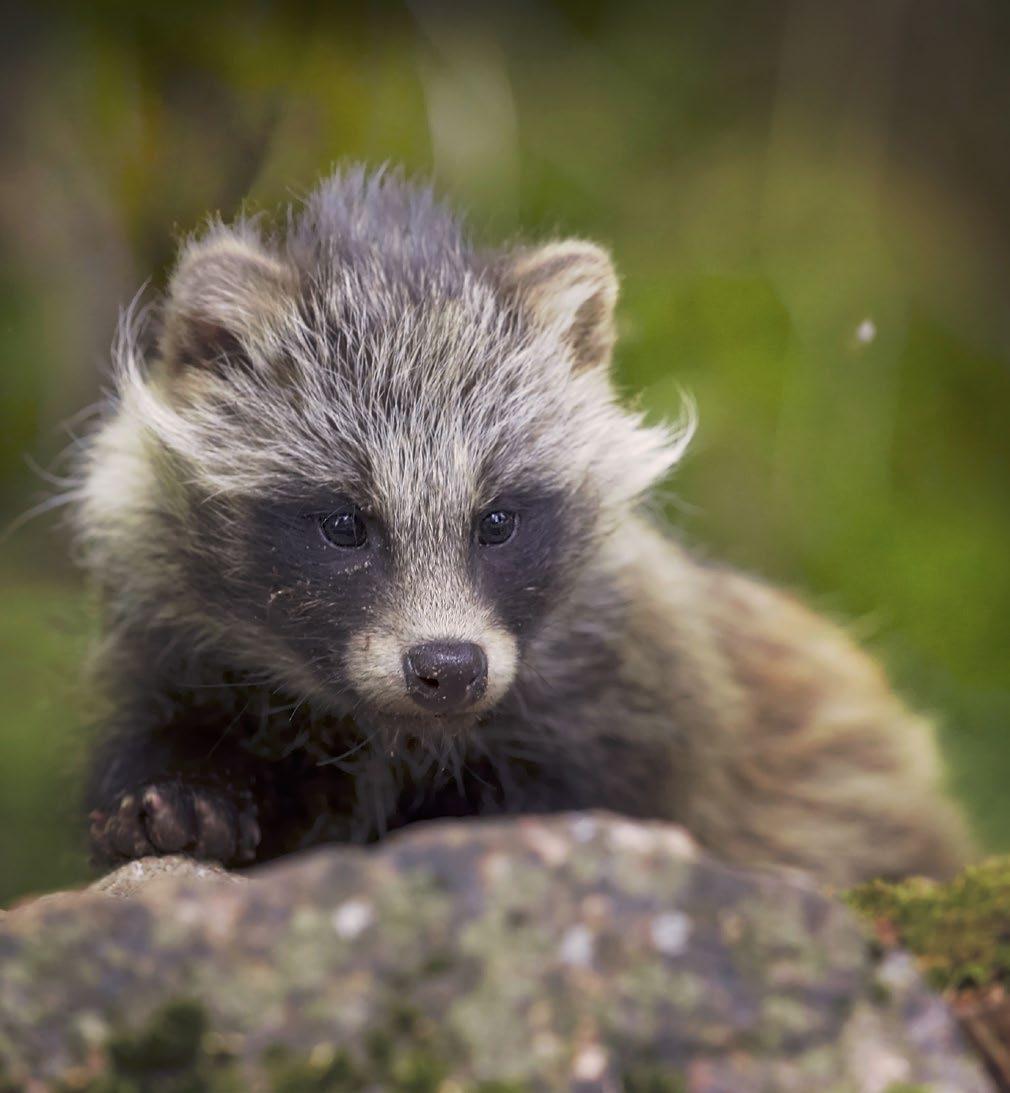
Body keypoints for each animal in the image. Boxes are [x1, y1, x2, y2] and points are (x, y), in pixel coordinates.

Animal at [78, 168, 970, 887]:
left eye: (498, 520)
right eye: (343, 523)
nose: (448, 668)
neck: (395, 733)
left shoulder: (630, 692)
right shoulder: (178, 638)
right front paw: (181, 794)